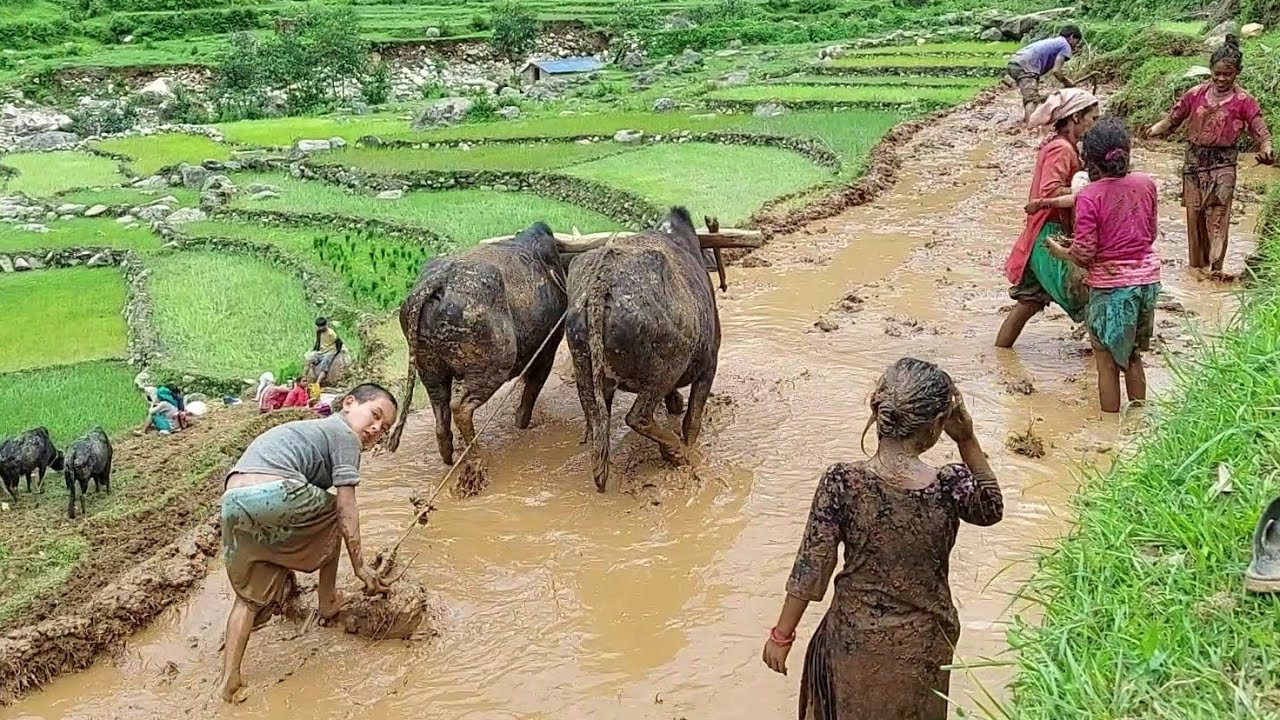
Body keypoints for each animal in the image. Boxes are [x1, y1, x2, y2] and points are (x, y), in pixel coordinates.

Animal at [386, 221, 568, 461]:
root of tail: (440, 281)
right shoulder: (547, 350)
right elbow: (532, 390)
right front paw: (521, 422)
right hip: (491, 368)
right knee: (461, 408)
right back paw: (476, 456)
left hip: (429, 370)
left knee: (441, 411)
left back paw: (449, 453)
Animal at [563, 204, 716, 489]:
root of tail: (603, 280)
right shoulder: (709, 365)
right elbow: (692, 420)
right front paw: (689, 446)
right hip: (665, 369)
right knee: (637, 417)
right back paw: (674, 451)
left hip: (584, 369)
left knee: (596, 420)